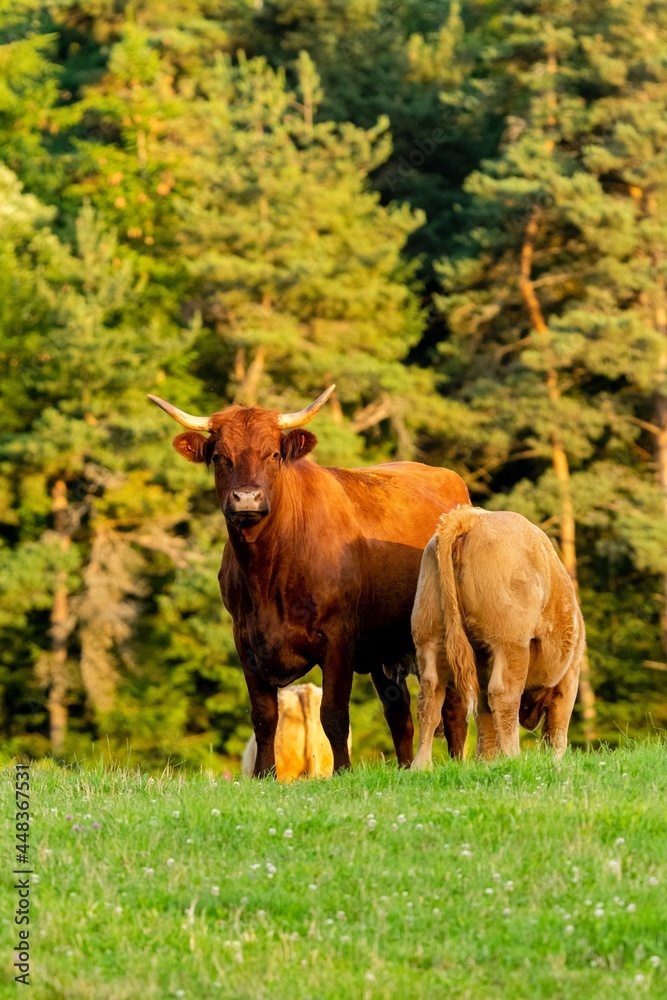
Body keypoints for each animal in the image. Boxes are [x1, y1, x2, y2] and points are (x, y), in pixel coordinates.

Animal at [147, 382, 470, 772]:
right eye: (220, 456)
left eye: (273, 454)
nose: (246, 499)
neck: (268, 571)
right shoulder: (245, 639)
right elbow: (263, 716)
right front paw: (263, 774)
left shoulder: (337, 637)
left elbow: (334, 714)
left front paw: (343, 771)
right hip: (384, 647)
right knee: (399, 714)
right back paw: (406, 767)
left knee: (453, 708)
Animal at [410, 508, 588, 764]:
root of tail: (470, 517)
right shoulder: (569, 676)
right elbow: (556, 731)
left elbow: (485, 721)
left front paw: (486, 763)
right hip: (510, 643)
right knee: (504, 694)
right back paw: (514, 756)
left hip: (429, 638)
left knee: (430, 696)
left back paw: (421, 766)